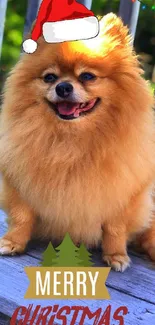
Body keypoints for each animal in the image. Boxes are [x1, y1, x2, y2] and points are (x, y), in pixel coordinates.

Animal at [0, 13, 155, 270]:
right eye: (49, 77)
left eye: (87, 76)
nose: (63, 87)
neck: (71, 142)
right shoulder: (21, 183)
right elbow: (22, 216)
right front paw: (12, 242)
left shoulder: (124, 194)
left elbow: (115, 228)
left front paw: (116, 255)